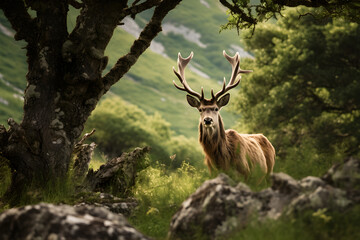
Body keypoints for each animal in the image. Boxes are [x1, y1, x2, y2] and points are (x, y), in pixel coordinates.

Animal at [172, 50, 276, 181]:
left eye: (216, 108)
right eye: (200, 109)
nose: (207, 120)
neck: (222, 162)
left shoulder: (244, 174)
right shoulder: (212, 173)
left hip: (268, 173)